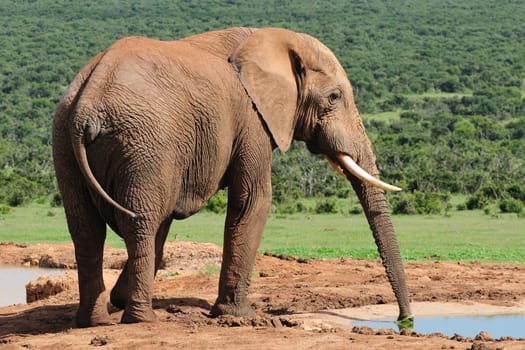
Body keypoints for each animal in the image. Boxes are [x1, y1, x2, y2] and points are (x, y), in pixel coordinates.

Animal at [54, 27, 414, 328]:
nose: (405, 320)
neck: (276, 39)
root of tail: (88, 104)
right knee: (141, 222)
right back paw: (142, 320)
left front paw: (119, 297)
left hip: (68, 142)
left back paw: (95, 320)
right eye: (335, 97)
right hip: (145, 144)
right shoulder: (253, 118)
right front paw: (239, 316)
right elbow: (253, 200)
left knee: (87, 228)